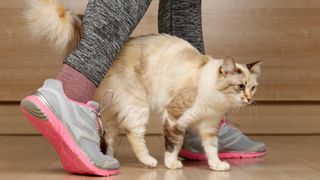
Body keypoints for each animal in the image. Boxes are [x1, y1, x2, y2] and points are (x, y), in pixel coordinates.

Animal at [24, 0, 260, 172]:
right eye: (240, 87)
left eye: (253, 88)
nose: (249, 99)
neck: (215, 100)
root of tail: (122, 45)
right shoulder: (174, 117)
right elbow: (173, 145)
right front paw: (172, 165)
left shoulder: (209, 128)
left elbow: (212, 149)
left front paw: (217, 165)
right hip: (137, 106)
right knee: (133, 135)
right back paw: (146, 161)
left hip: (116, 110)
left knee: (109, 135)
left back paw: (109, 157)